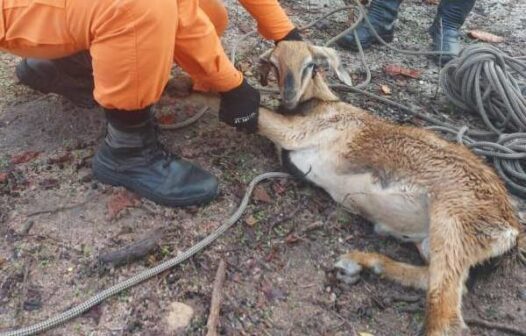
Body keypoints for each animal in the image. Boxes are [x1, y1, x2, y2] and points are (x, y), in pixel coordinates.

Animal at [180, 40, 524, 334]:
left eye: (310, 65)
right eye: (276, 64)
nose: (290, 95)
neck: (319, 104)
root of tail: (511, 228)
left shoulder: (298, 132)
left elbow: (240, 108)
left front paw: (177, 88)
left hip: (454, 223)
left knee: (446, 318)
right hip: (435, 241)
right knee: (434, 280)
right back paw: (360, 264)